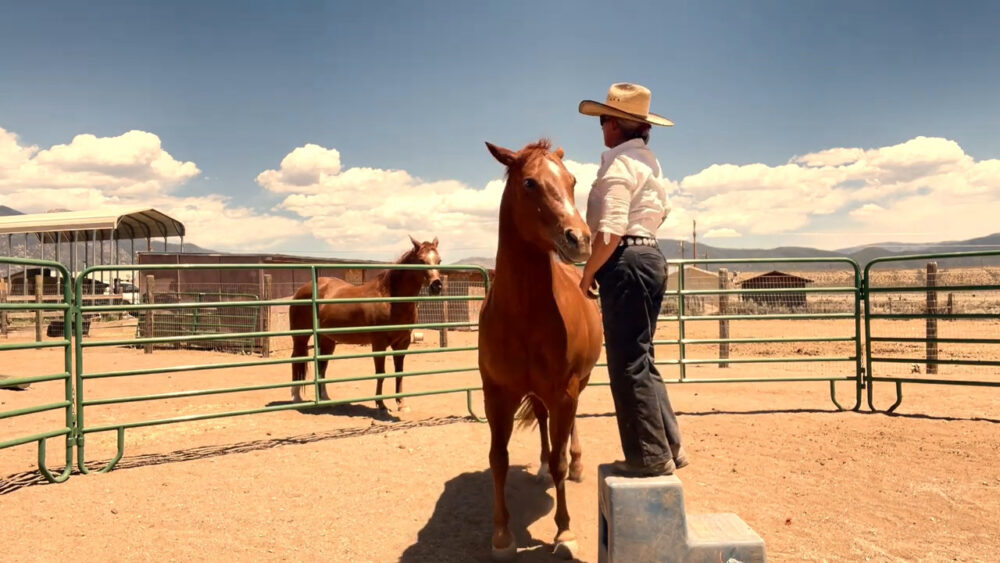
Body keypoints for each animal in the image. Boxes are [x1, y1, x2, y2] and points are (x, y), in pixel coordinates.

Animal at [288, 236, 443, 413]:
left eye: (439, 260)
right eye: (421, 260)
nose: (436, 286)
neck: (389, 298)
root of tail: (301, 290)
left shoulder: (402, 344)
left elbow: (399, 372)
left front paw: (402, 404)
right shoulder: (379, 344)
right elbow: (381, 373)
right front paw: (380, 404)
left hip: (327, 339)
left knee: (322, 365)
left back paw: (325, 399)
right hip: (300, 337)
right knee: (296, 360)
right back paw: (296, 398)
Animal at [478, 140, 603, 559]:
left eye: (572, 180)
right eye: (529, 183)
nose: (580, 239)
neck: (524, 313)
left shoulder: (564, 392)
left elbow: (560, 460)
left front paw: (564, 532)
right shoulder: (496, 395)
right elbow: (498, 460)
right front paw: (502, 534)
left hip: (577, 386)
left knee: (567, 438)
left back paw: (577, 465)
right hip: (535, 394)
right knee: (545, 426)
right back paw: (541, 468)